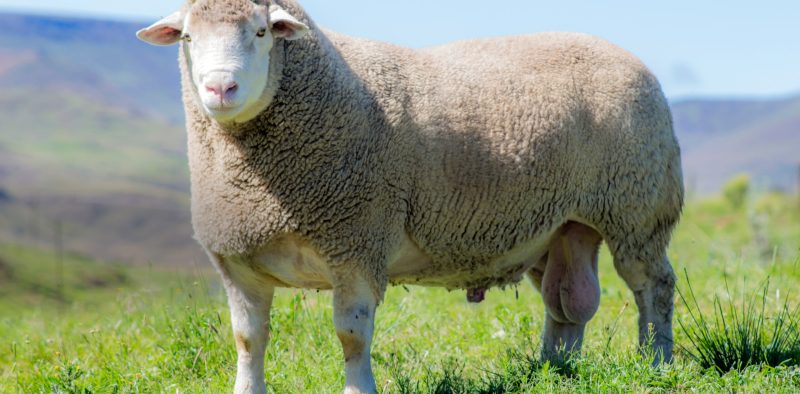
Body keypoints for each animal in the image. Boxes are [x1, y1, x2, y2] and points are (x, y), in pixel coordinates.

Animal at [136, 0, 680, 390]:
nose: (219, 88)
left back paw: (656, 362)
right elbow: (247, 340)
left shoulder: (356, 244)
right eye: (188, 37)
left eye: (262, 32)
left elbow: (351, 336)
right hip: (560, 227)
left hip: (637, 208)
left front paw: (360, 390)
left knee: (652, 286)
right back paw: (554, 370)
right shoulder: (238, 260)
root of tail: (627, 57)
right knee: (566, 304)